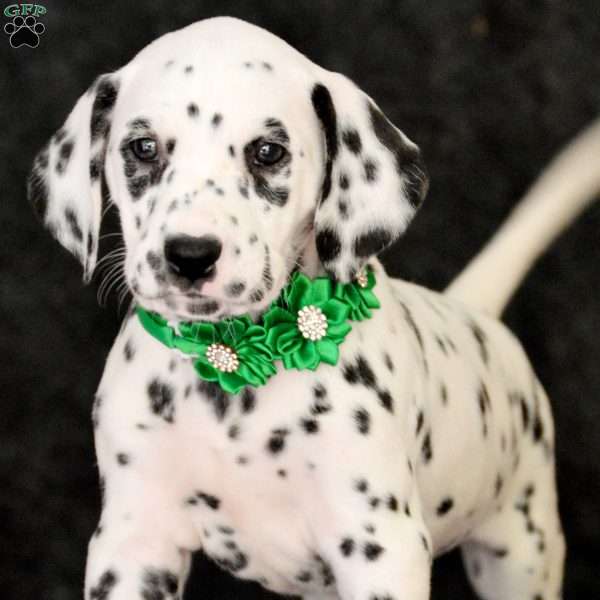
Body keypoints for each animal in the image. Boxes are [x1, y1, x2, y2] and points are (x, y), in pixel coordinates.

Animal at [25, 17, 596, 600]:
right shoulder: (136, 542)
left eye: (267, 152)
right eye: (143, 147)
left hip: (520, 550)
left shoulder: (379, 545)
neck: (232, 366)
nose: (190, 255)